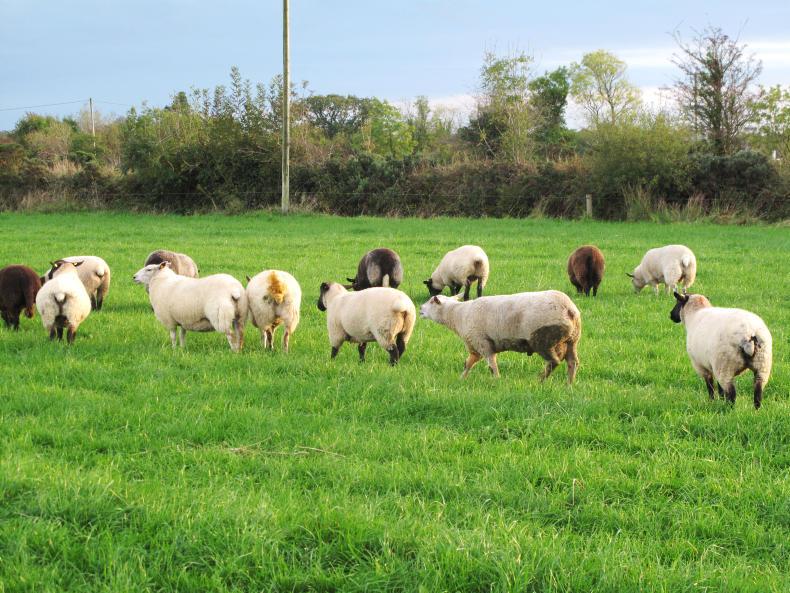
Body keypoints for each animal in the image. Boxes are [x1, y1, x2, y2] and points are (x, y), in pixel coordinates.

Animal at [420, 290, 581, 383]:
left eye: (431, 302)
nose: (420, 309)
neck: (457, 315)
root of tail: (569, 309)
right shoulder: (475, 347)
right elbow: (468, 364)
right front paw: (461, 379)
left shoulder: (482, 342)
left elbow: (492, 365)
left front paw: (497, 381)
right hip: (571, 340)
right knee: (573, 362)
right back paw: (569, 384)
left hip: (543, 339)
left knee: (554, 361)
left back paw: (540, 380)